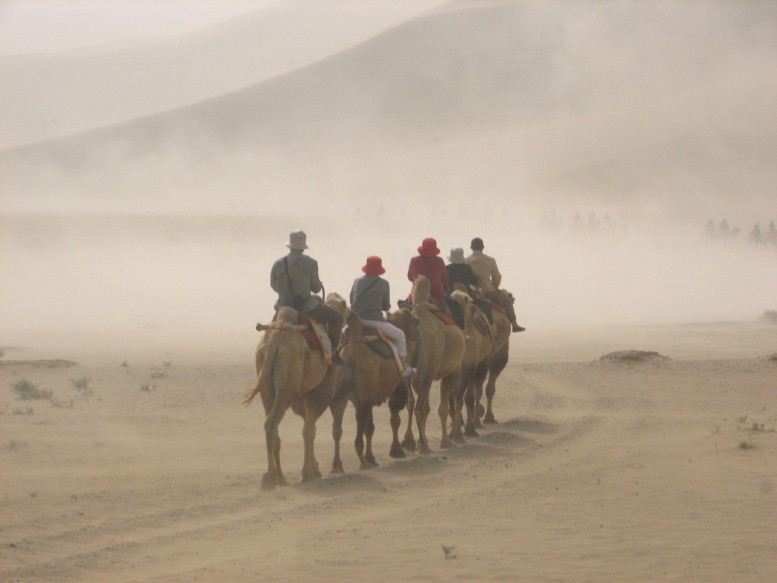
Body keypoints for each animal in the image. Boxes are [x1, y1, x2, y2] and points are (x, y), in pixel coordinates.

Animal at [244, 294, 348, 490]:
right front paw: (308, 473)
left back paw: (280, 477)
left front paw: (313, 470)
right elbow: (309, 430)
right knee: (272, 423)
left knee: (273, 426)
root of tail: (275, 340)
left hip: (266, 386)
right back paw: (269, 477)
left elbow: (310, 428)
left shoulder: (306, 394)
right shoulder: (318, 392)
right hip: (287, 385)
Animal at [330, 308, 422, 472]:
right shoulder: (397, 387)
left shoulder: (370, 396)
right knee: (358, 429)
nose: (420, 332)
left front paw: (372, 457)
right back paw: (363, 463)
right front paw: (397, 450)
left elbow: (370, 428)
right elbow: (395, 418)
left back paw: (337, 465)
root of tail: (351, 354)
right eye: (414, 320)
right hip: (363, 400)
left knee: (337, 427)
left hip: (341, 396)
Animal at [400, 276, 466, 454]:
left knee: (411, 403)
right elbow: (443, 407)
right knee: (420, 407)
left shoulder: (425, 375)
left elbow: (428, 407)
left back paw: (410, 441)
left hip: (411, 371)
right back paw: (422, 446)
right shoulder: (452, 371)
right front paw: (447, 441)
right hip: (432, 372)